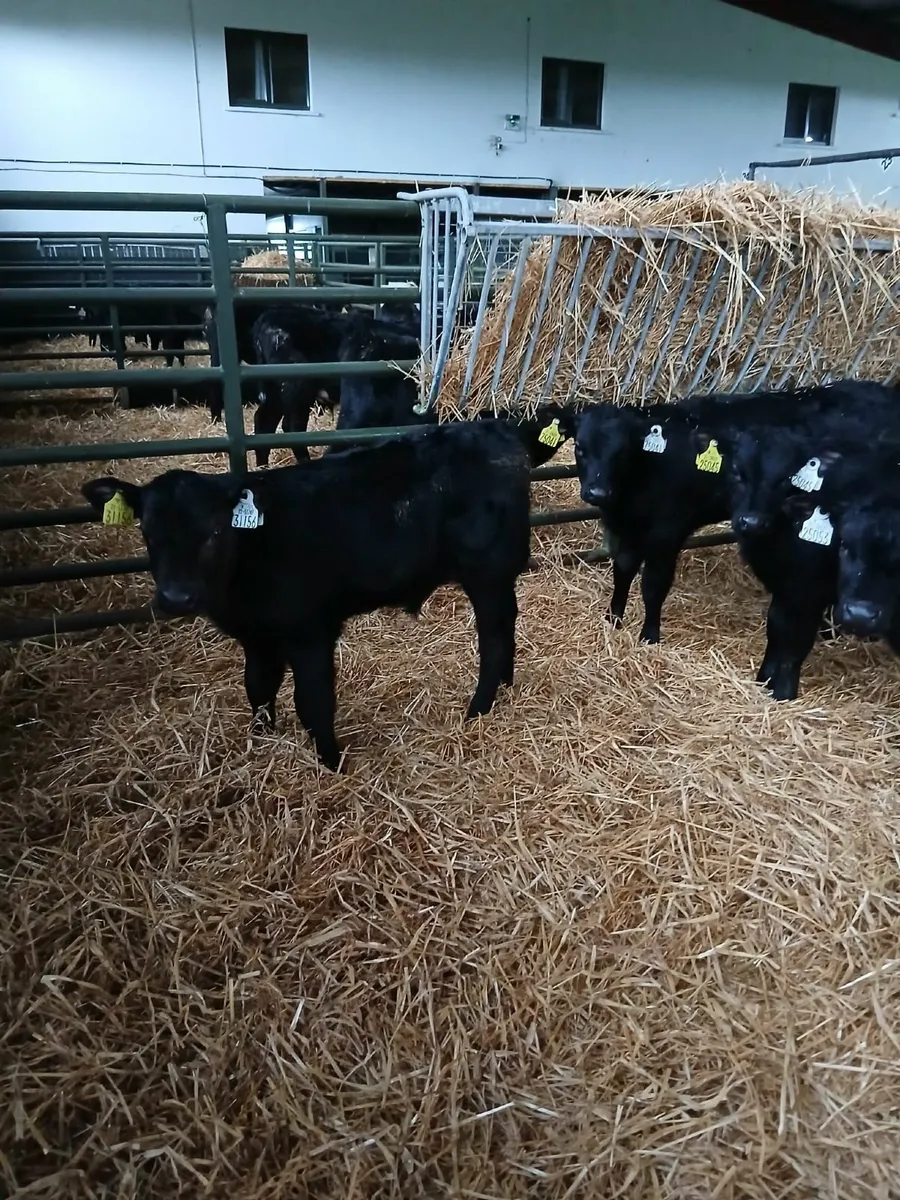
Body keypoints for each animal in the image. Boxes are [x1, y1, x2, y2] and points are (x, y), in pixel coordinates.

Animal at [81, 421, 532, 771]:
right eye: (147, 532)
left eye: (214, 532)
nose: (177, 598)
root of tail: (496, 429)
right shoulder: (257, 638)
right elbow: (258, 689)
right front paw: (260, 744)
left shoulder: (310, 632)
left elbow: (313, 702)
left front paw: (332, 764)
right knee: (507, 626)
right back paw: (505, 688)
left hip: (487, 570)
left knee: (493, 636)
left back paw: (478, 707)